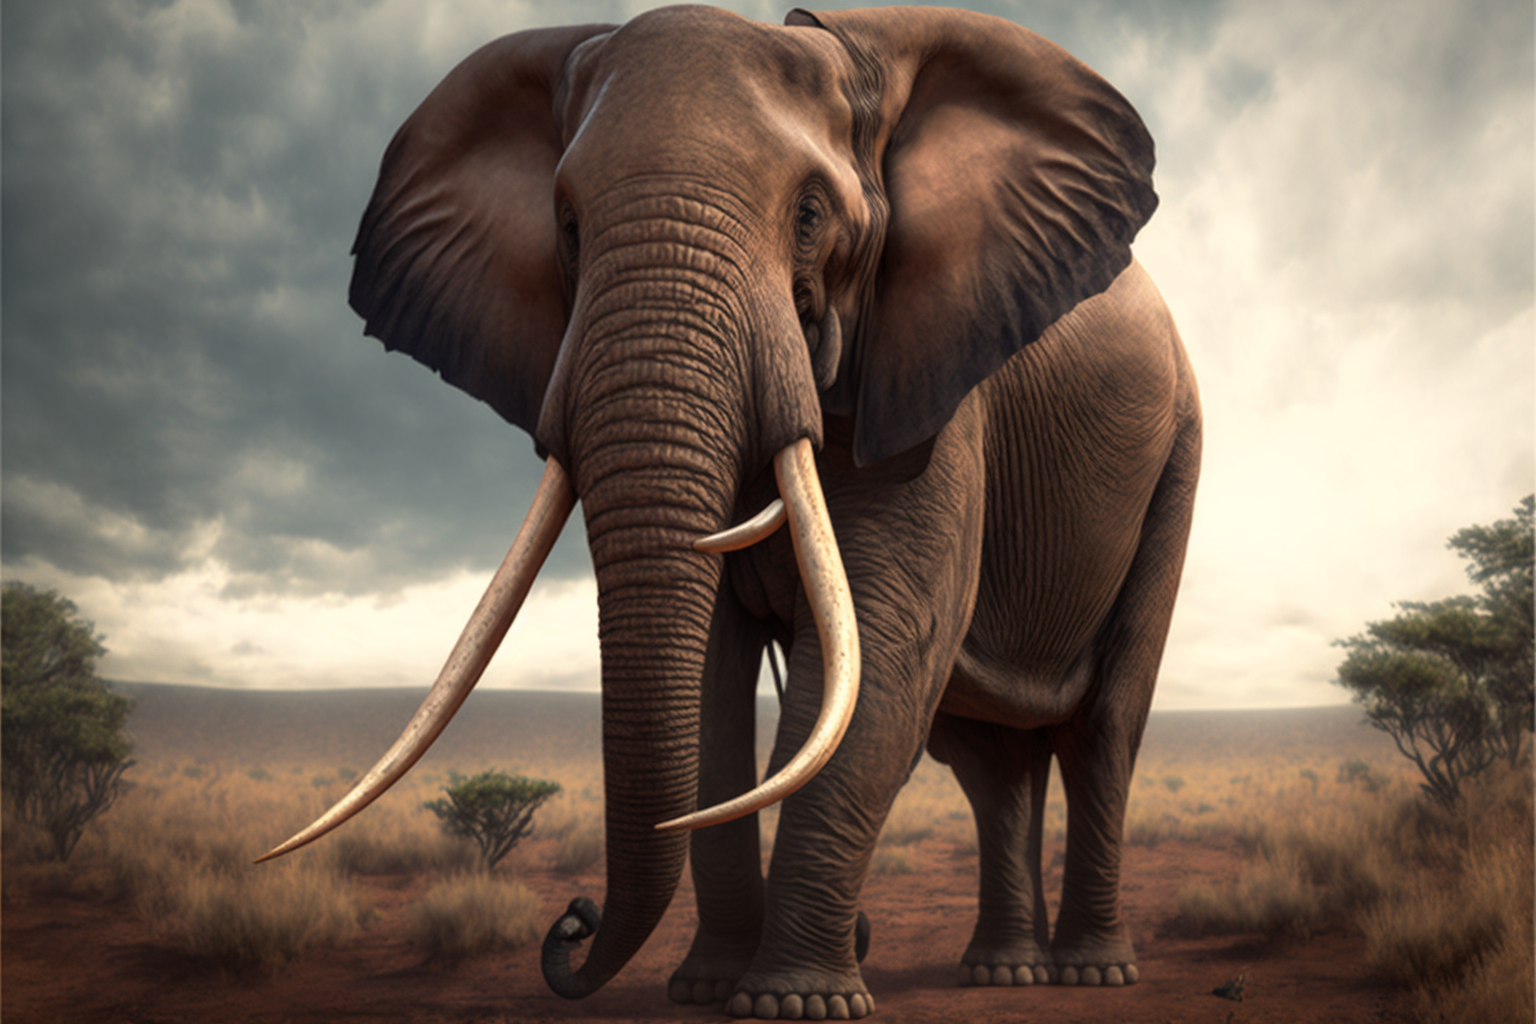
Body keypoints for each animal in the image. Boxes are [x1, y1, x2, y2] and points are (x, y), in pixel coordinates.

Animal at [261, 5, 1201, 1019]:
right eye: (568, 224)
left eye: (811, 214)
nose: (572, 919)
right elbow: (714, 678)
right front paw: (709, 986)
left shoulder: (937, 393)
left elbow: (882, 654)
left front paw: (793, 1002)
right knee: (991, 760)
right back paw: (1003, 970)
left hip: (1177, 459)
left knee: (1102, 728)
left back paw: (1091, 971)